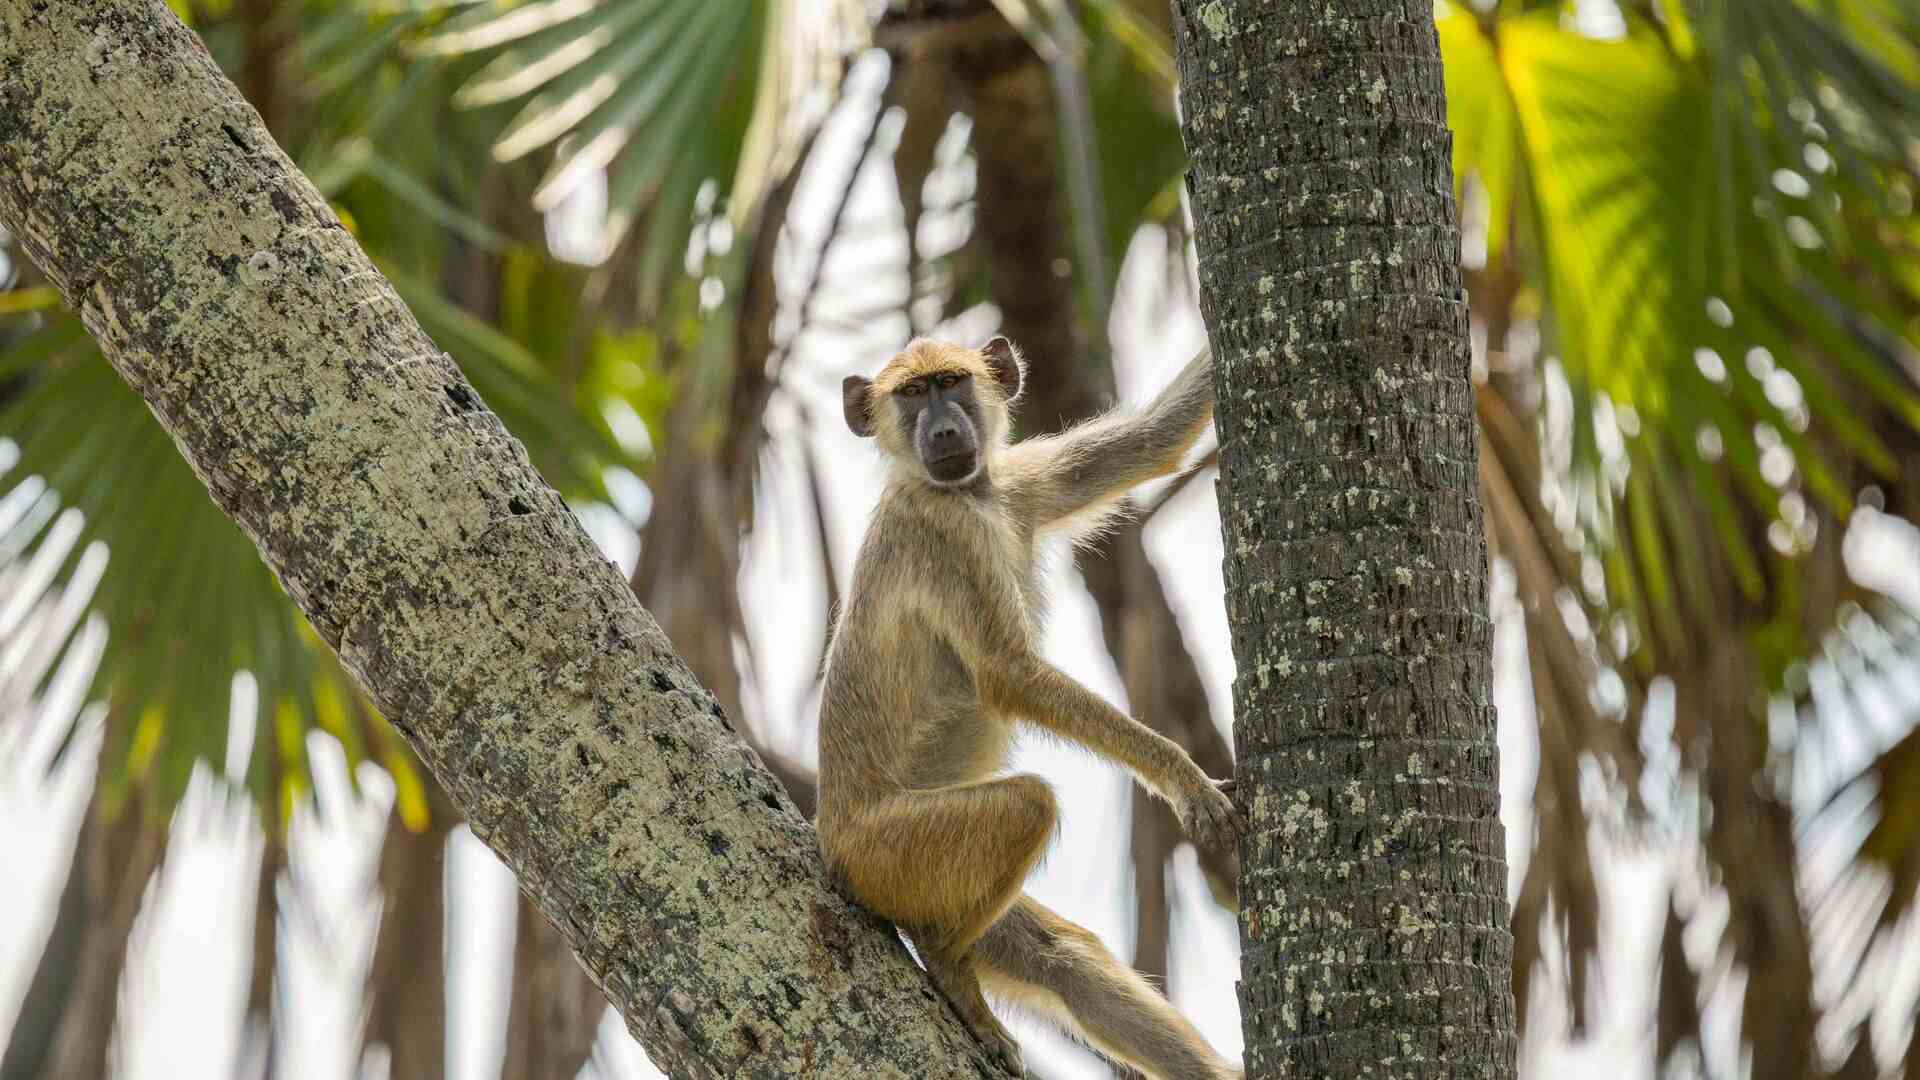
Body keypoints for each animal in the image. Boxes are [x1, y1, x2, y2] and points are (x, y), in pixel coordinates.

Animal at [816, 336, 1241, 1079]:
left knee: (1064, 960)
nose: (944, 431)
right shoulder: (947, 536)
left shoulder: (1015, 481)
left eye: (951, 383)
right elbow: (1010, 677)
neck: (966, 493)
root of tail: (829, 835)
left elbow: (1153, 441)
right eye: (911, 394)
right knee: (1027, 806)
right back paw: (945, 962)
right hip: (885, 854)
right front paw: (1182, 778)